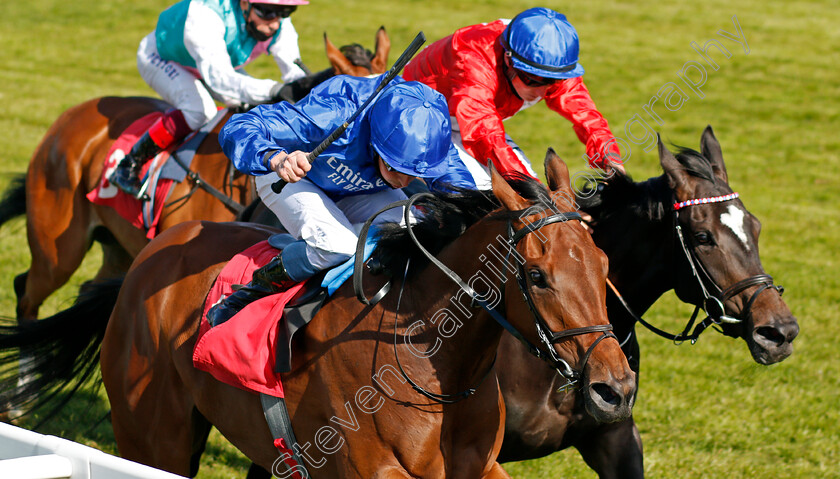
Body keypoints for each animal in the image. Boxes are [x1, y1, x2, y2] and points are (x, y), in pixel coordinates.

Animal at [1, 157, 636, 476]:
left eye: (604, 264)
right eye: (537, 276)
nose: (615, 389)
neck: (428, 360)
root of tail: (149, 257)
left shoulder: (478, 469)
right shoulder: (373, 471)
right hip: (152, 436)